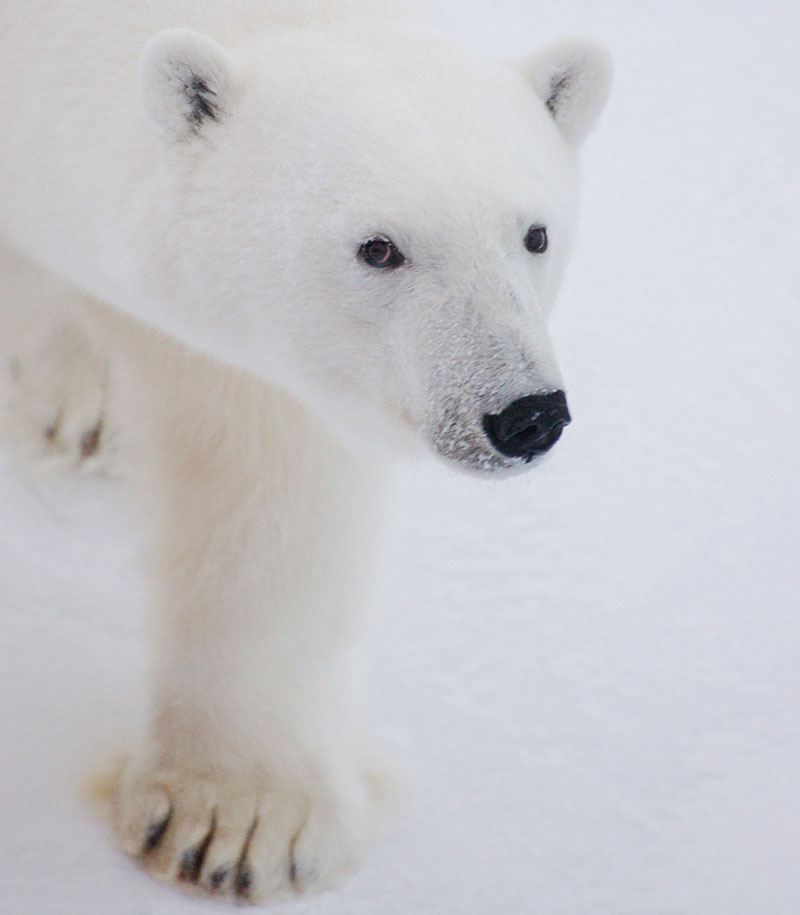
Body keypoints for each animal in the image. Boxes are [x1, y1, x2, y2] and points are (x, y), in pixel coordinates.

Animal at [1, 0, 612, 904]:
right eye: (378, 246)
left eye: (534, 233)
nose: (524, 414)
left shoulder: (268, 370)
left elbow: (267, 492)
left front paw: (238, 819)